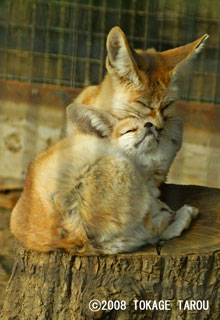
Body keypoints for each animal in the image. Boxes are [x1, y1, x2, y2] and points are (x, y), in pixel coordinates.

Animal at [10, 105, 198, 255]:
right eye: (129, 130)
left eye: (160, 130)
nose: (150, 125)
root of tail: (70, 233)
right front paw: (166, 209)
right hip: (121, 169)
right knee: (154, 231)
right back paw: (183, 214)